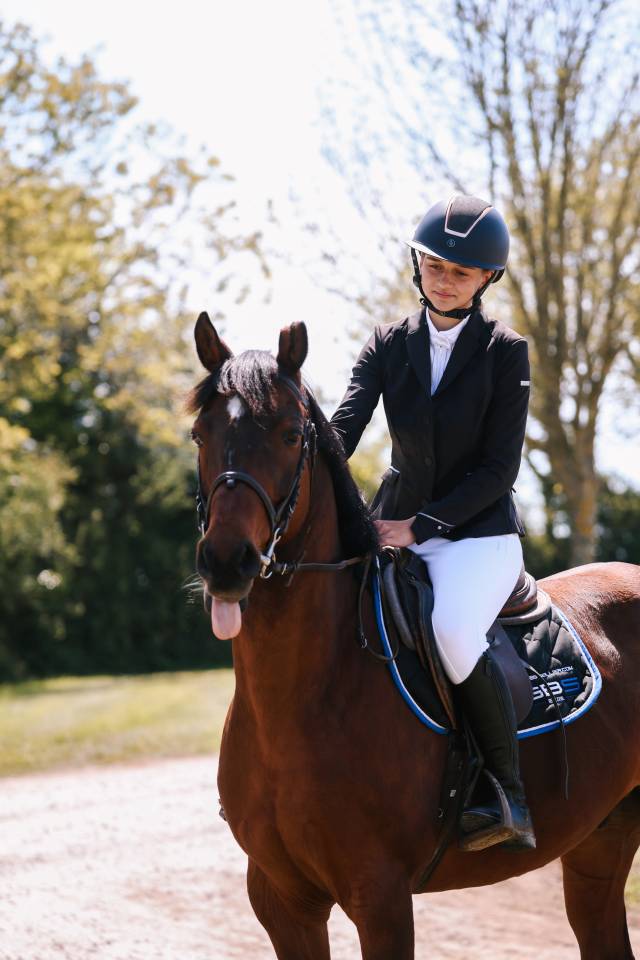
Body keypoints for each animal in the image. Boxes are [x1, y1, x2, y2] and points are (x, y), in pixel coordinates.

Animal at [188, 311, 640, 960]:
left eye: (291, 435)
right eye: (200, 435)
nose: (227, 563)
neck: (303, 695)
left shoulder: (381, 899)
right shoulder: (281, 902)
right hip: (603, 836)